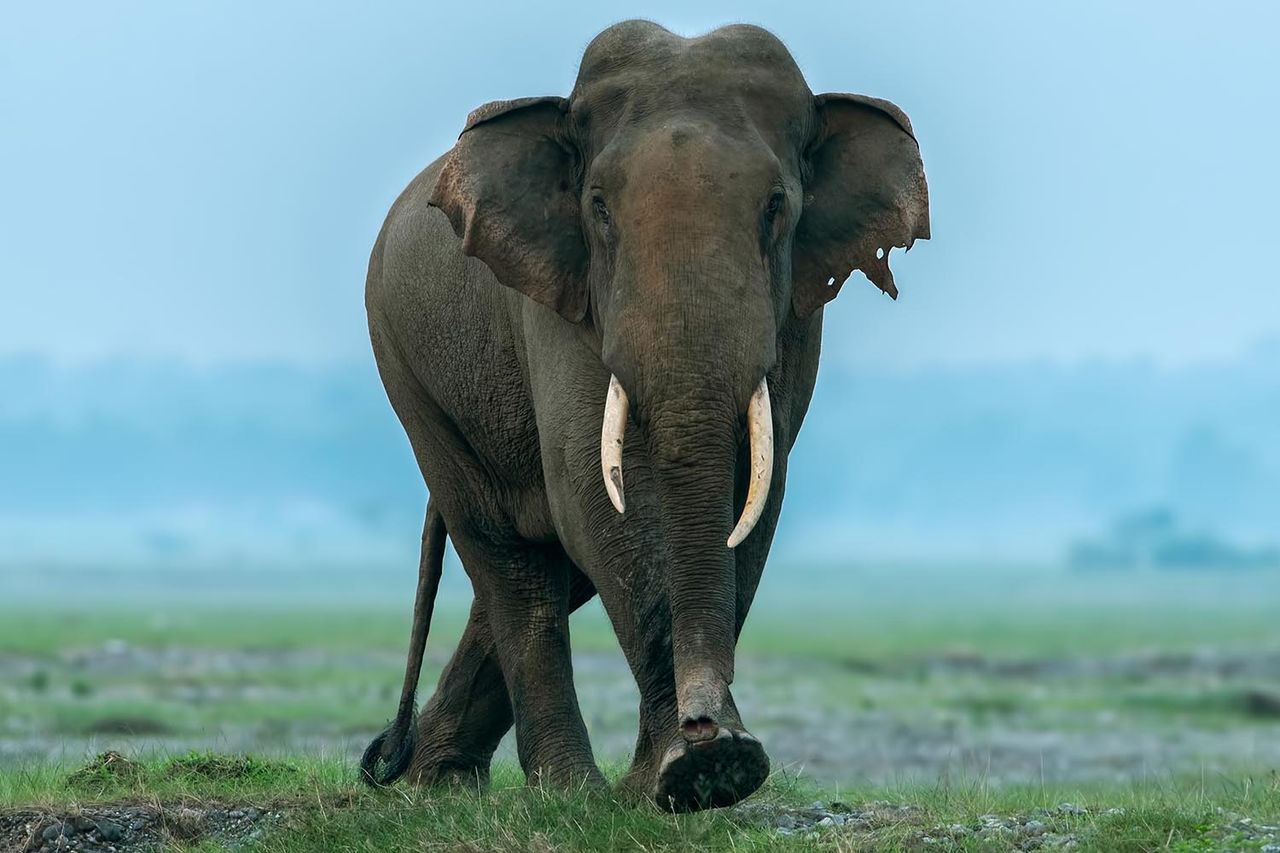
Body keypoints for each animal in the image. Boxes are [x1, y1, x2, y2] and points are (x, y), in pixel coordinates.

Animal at [360, 19, 929, 812]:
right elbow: (599, 491)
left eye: (776, 206)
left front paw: (684, 775)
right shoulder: (556, 293)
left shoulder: (795, 308)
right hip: (408, 368)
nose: (706, 724)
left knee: (546, 563)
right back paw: (553, 790)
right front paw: (694, 770)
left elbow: (754, 498)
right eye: (598, 207)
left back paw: (436, 779)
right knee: (507, 555)